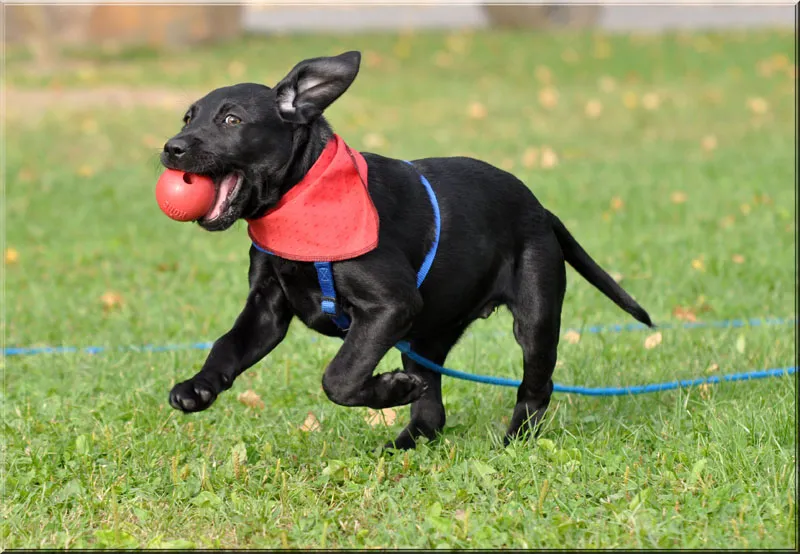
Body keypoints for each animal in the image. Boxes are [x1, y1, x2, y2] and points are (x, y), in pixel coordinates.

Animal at [159, 50, 652, 448]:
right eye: (187, 118)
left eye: (231, 120)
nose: (171, 148)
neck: (301, 197)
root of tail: (541, 209)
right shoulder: (267, 307)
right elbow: (228, 344)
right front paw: (198, 386)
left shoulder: (390, 306)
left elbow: (340, 376)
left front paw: (391, 389)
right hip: (428, 332)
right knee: (433, 410)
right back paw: (404, 441)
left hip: (535, 314)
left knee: (536, 385)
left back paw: (514, 440)